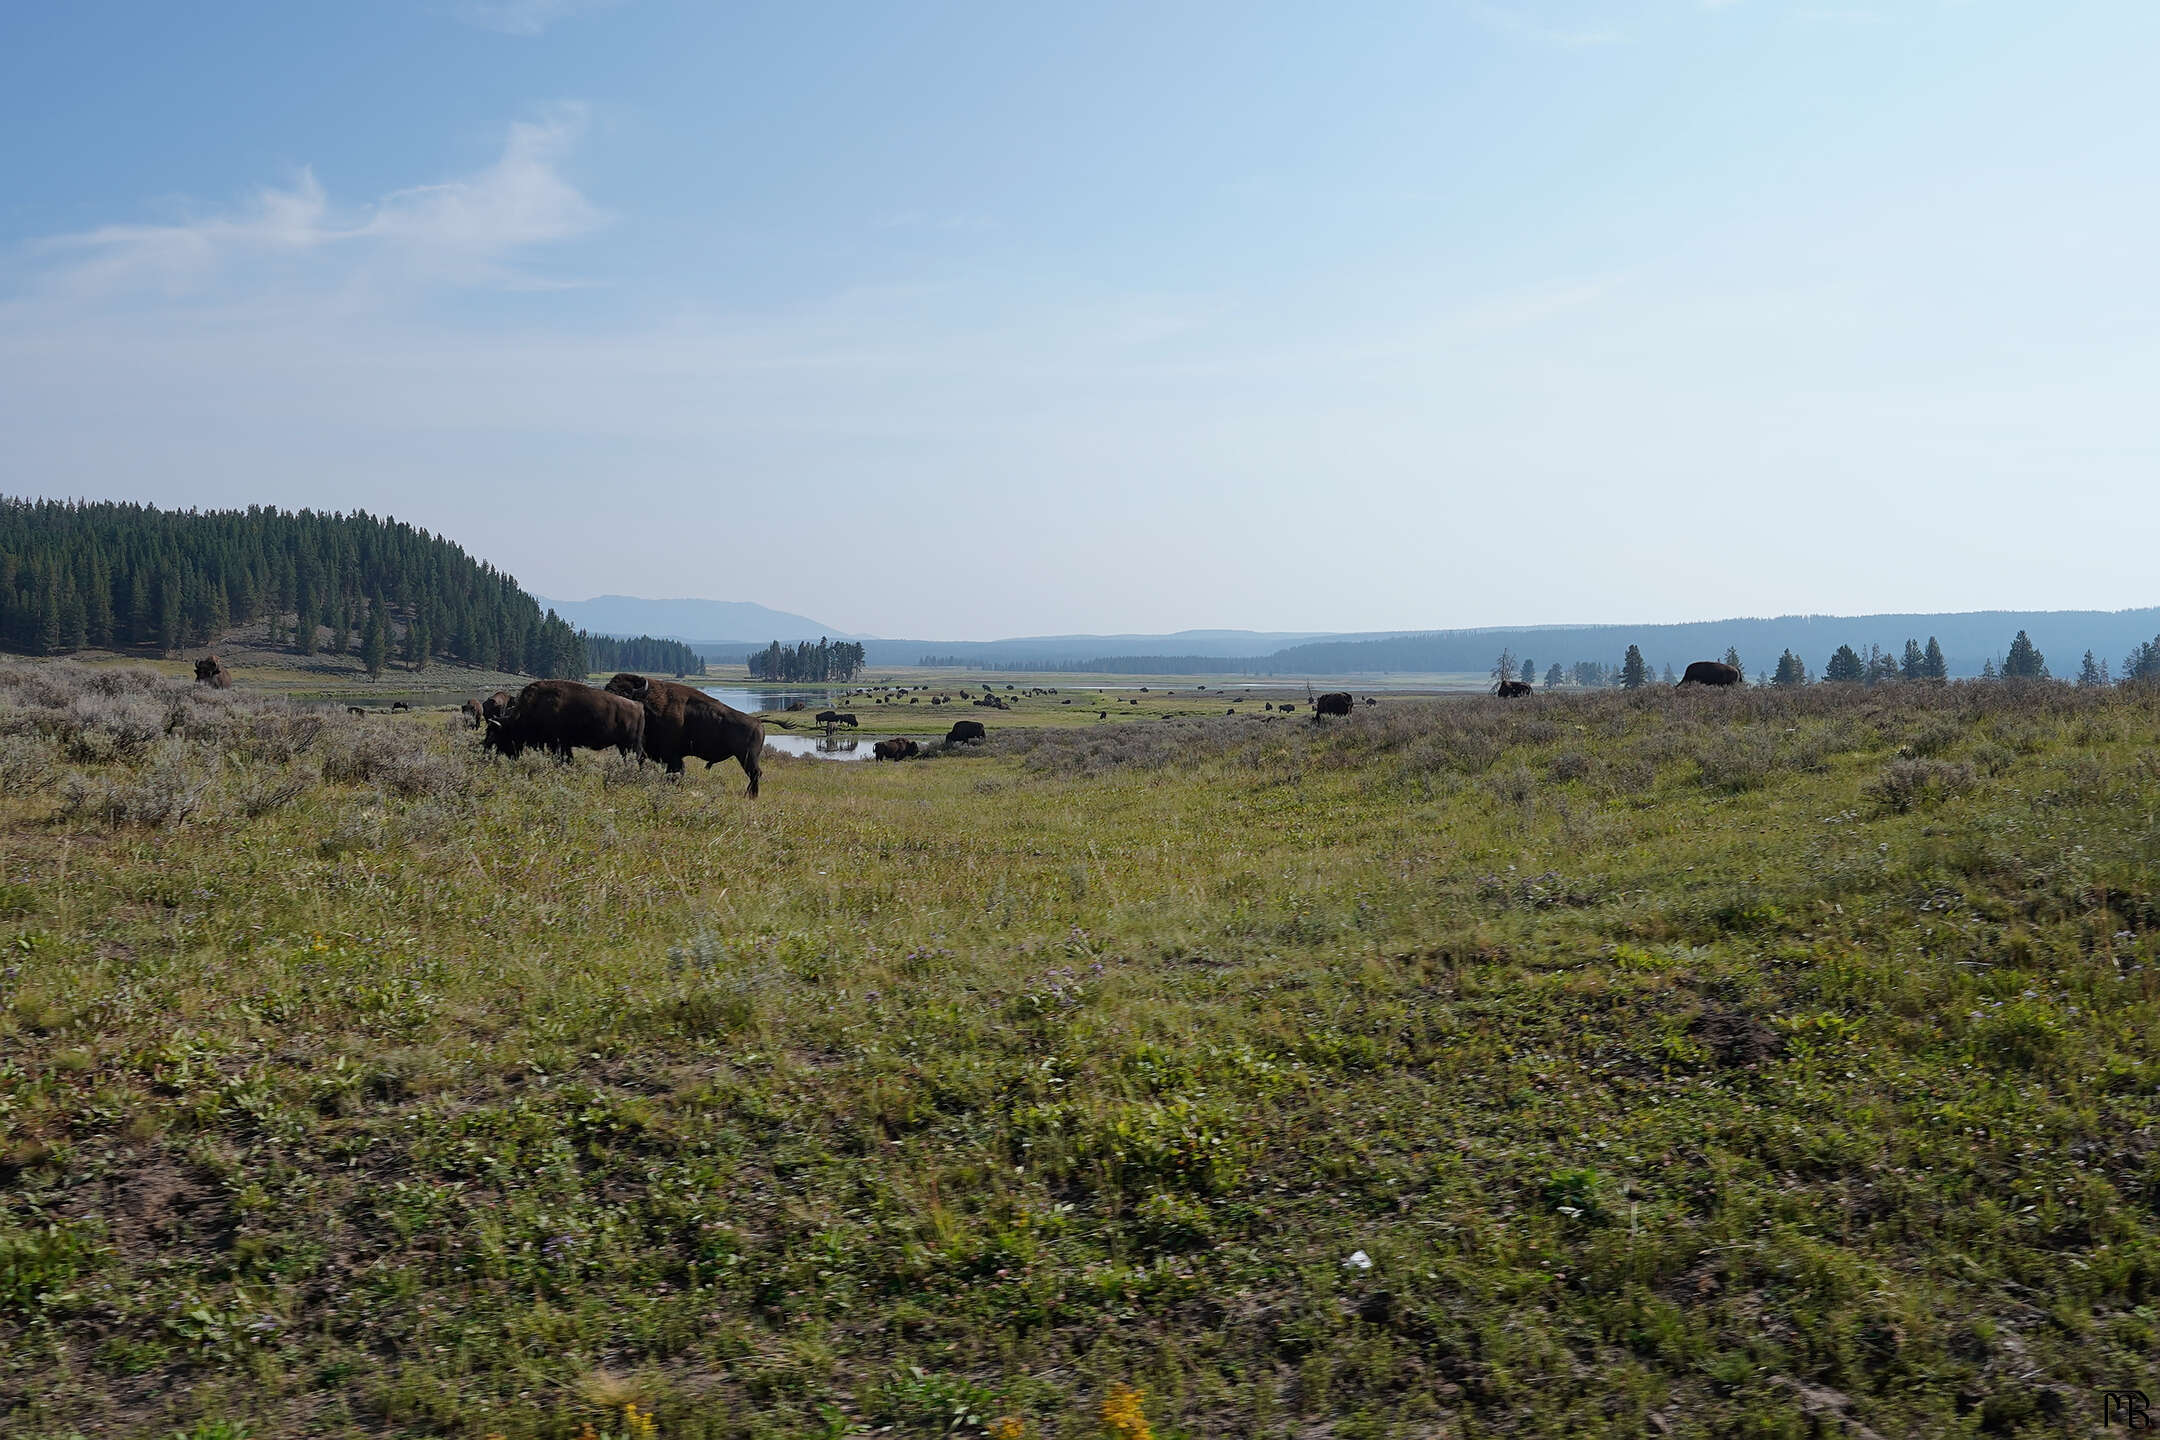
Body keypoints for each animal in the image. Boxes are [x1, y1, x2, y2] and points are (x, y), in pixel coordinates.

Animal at [490, 677, 648, 764]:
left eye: (501, 734)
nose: (508, 755)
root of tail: (638, 705)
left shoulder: (557, 743)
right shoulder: (564, 744)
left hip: (630, 744)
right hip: (623, 746)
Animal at [604, 669, 764, 794]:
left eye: (625, 693)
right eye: (607, 689)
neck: (648, 705)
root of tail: (758, 722)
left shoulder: (672, 755)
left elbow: (675, 771)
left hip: (747, 757)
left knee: (755, 774)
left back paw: (750, 796)